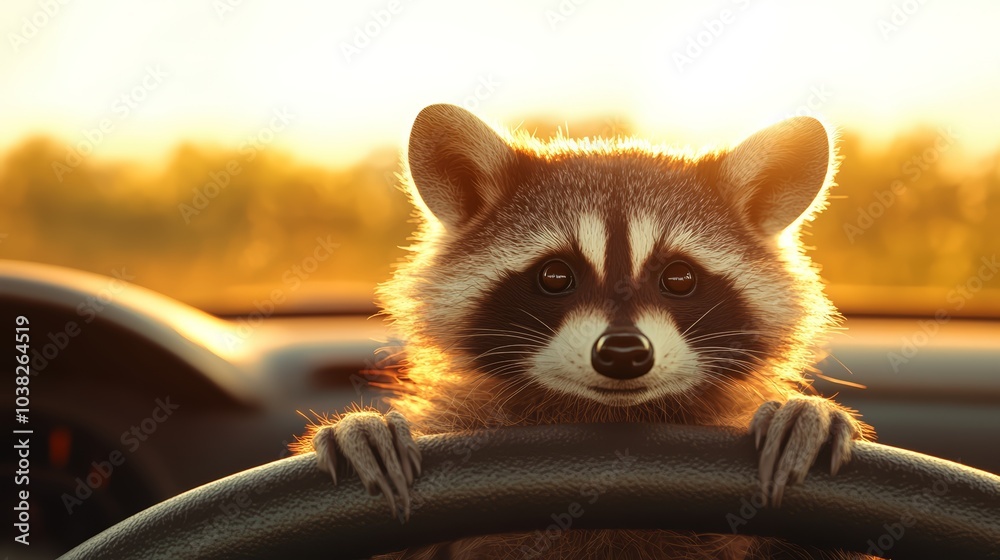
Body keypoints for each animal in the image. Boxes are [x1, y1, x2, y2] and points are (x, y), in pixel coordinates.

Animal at [303, 104, 872, 558]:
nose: (622, 353)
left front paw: (807, 413)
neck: (605, 418)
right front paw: (364, 428)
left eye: (679, 278)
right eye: (555, 276)